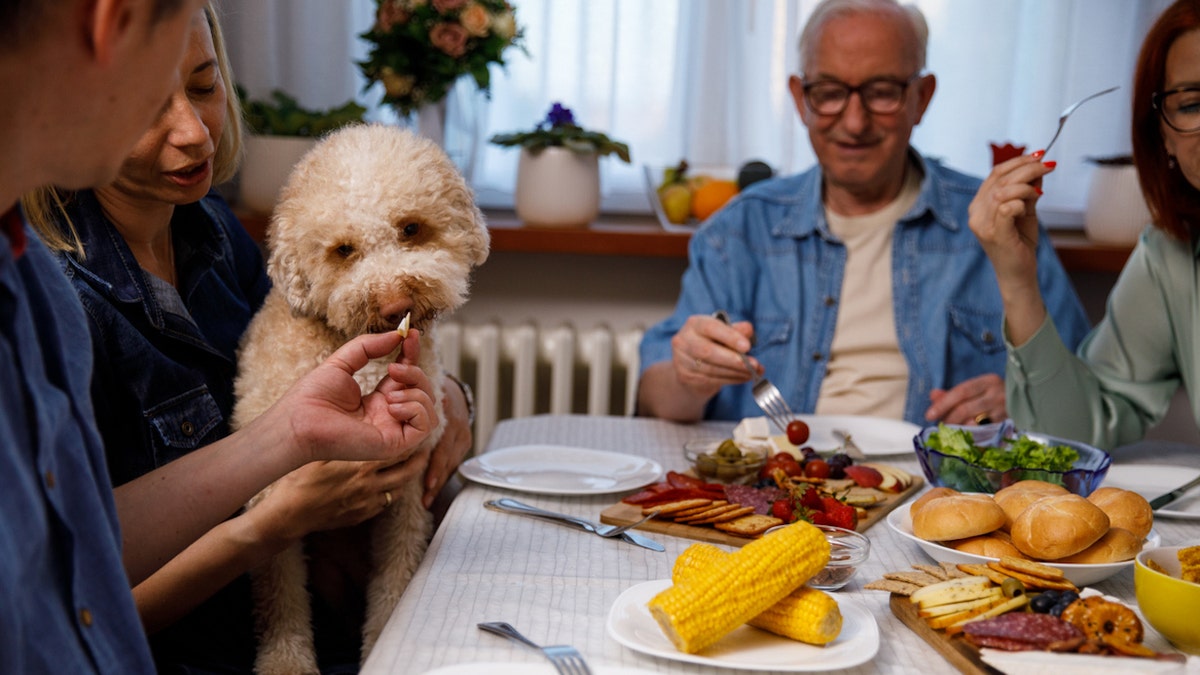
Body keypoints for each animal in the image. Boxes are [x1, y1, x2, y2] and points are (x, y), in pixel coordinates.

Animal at [231, 123, 489, 667]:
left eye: (411, 228)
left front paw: (380, 645)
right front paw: (286, 663)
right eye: (343, 249)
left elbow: (397, 579)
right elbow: (280, 593)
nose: (395, 305)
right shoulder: (270, 499)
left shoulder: (409, 492)